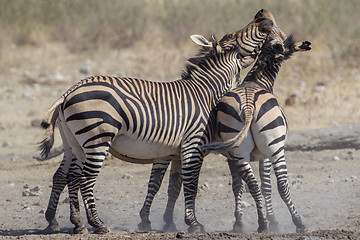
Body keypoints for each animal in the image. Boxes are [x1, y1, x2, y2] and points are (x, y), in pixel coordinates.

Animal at [39, 16, 274, 234]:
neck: (206, 94)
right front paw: (194, 224)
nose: (264, 22)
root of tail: (69, 91)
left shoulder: (174, 151)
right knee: (86, 178)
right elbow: (191, 184)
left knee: (67, 176)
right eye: (233, 37)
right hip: (97, 138)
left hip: (74, 143)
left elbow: (170, 185)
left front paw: (162, 222)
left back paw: (73, 223)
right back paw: (97, 224)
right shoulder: (193, 145)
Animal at [201, 34, 310, 233]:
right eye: (289, 44)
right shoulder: (263, 156)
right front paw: (274, 220)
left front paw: (238, 223)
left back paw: (262, 224)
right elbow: (266, 186)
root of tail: (248, 104)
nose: (305, 45)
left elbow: (238, 187)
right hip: (274, 148)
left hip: (239, 150)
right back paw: (297, 222)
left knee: (252, 186)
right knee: (281, 184)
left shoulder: (231, 157)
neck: (256, 81)